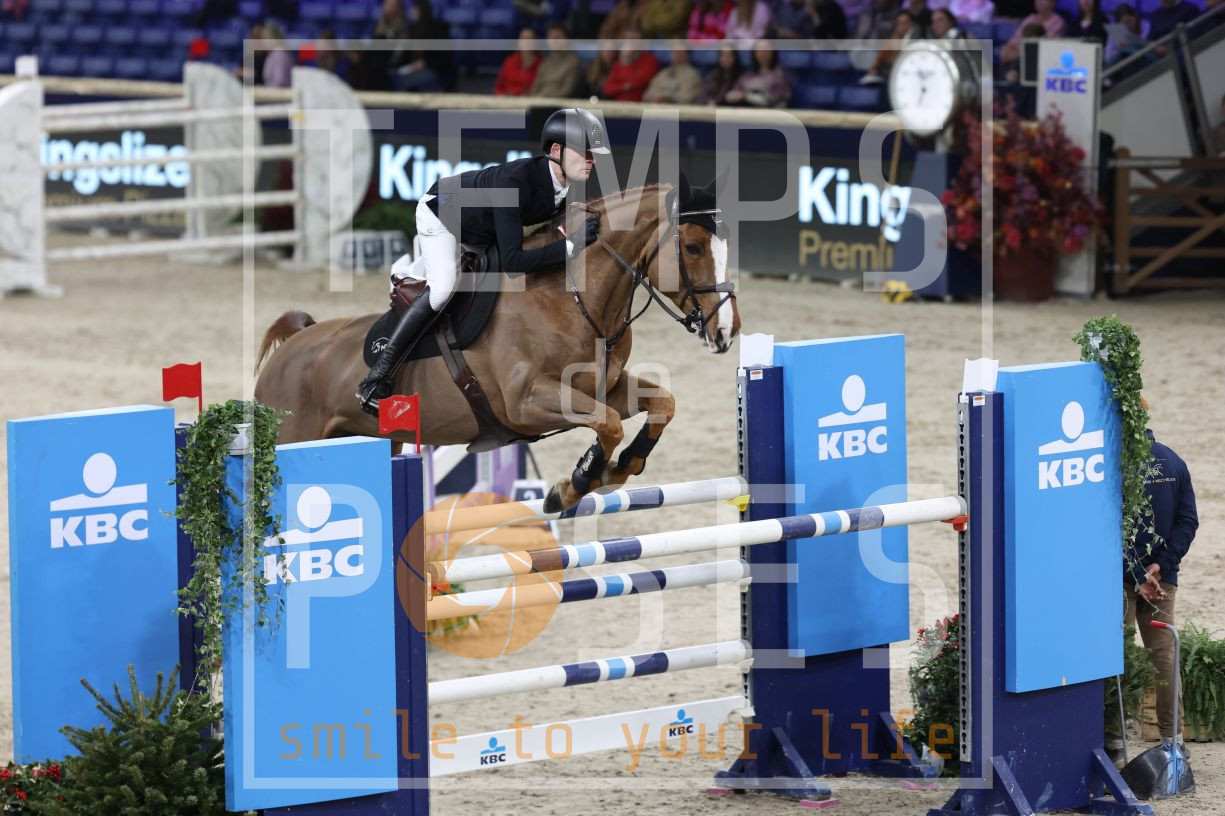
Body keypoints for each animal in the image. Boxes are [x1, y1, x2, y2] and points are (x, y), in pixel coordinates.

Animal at [254, 175, 740, 513]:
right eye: (693, 248)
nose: (728, 331)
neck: (571, 299)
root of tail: (291, 349)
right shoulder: (526, 403)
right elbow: (608, 426)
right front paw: (572, 486)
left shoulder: (605, 387)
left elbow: (661, 405)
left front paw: (618, 468)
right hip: (293, 439)